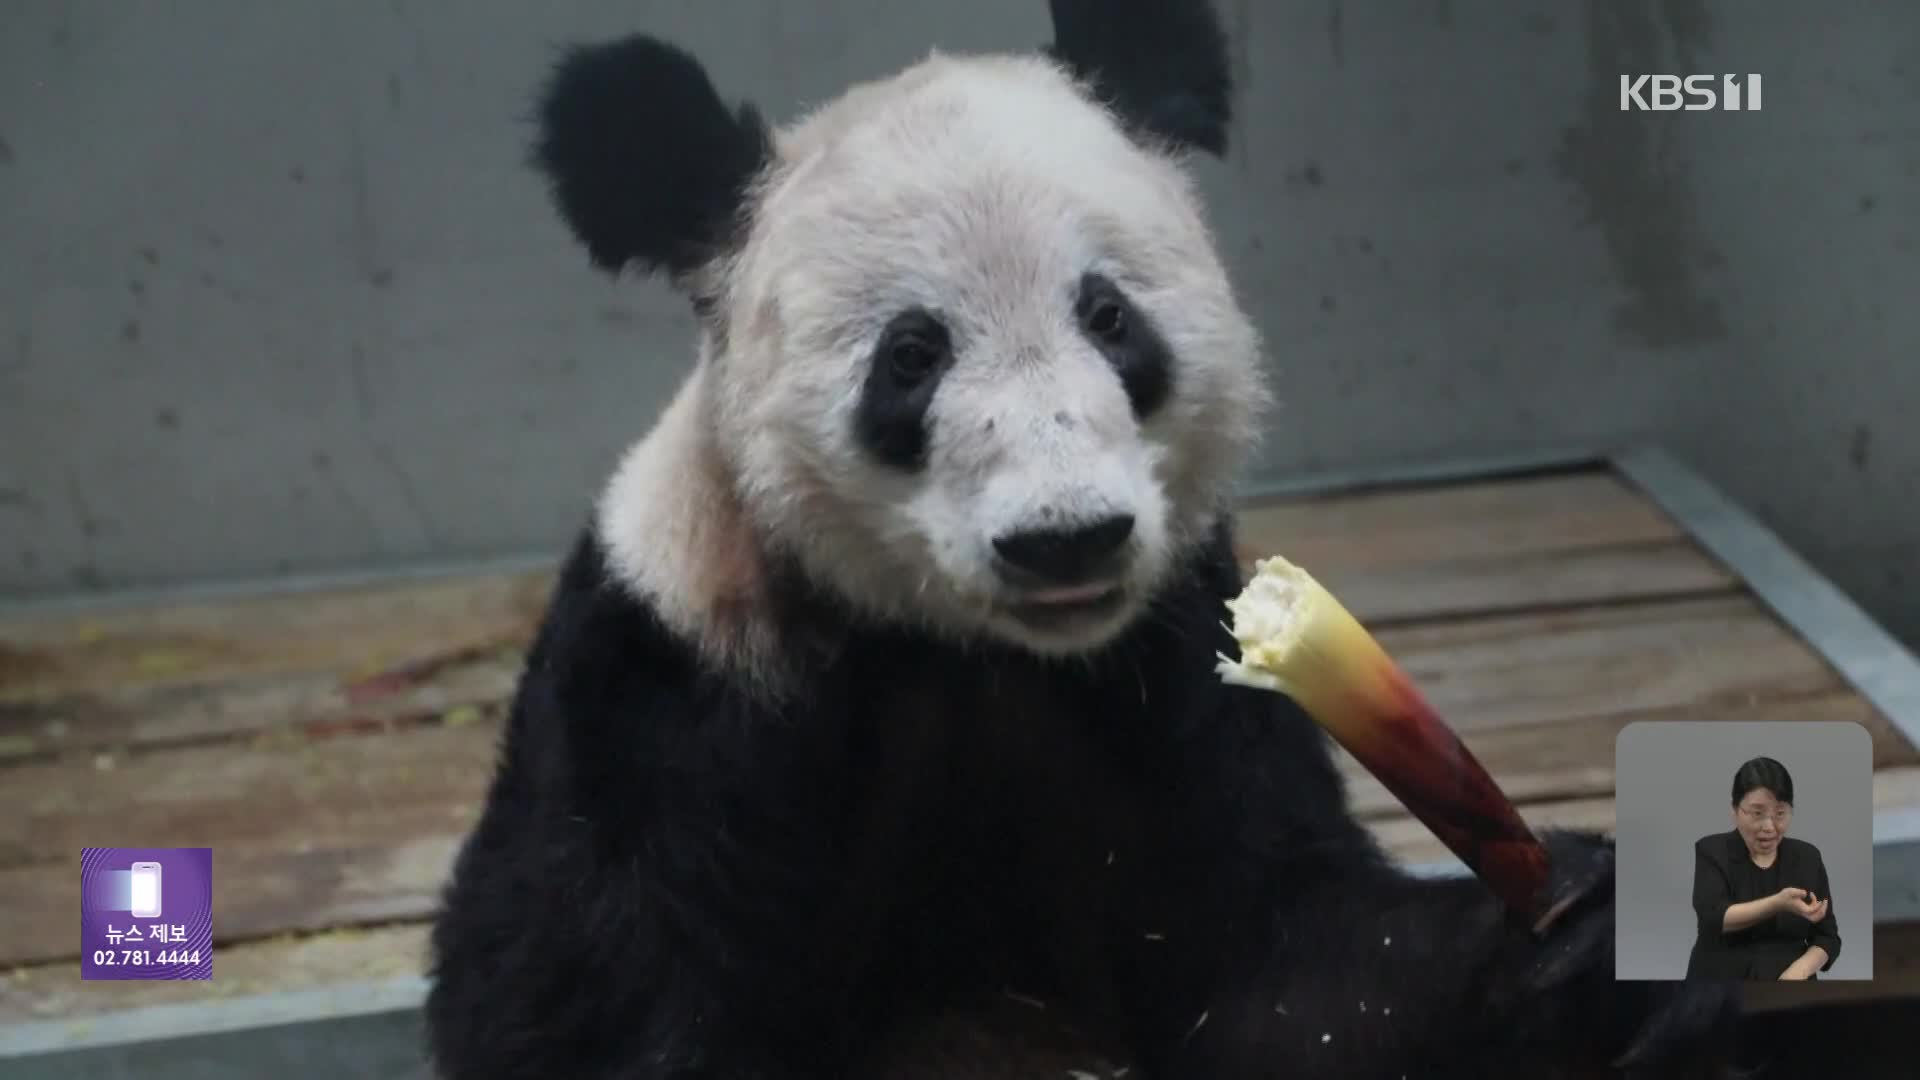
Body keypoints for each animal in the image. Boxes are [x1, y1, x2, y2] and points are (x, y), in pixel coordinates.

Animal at [424, 4, 1758, 1068]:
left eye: (1111, 319)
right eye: (911, 356)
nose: (1065, 540)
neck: (963, 651)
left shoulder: (1168, 666)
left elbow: (1289, 974)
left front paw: (1604, 938)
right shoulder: (674, 685)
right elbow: (578, 998)